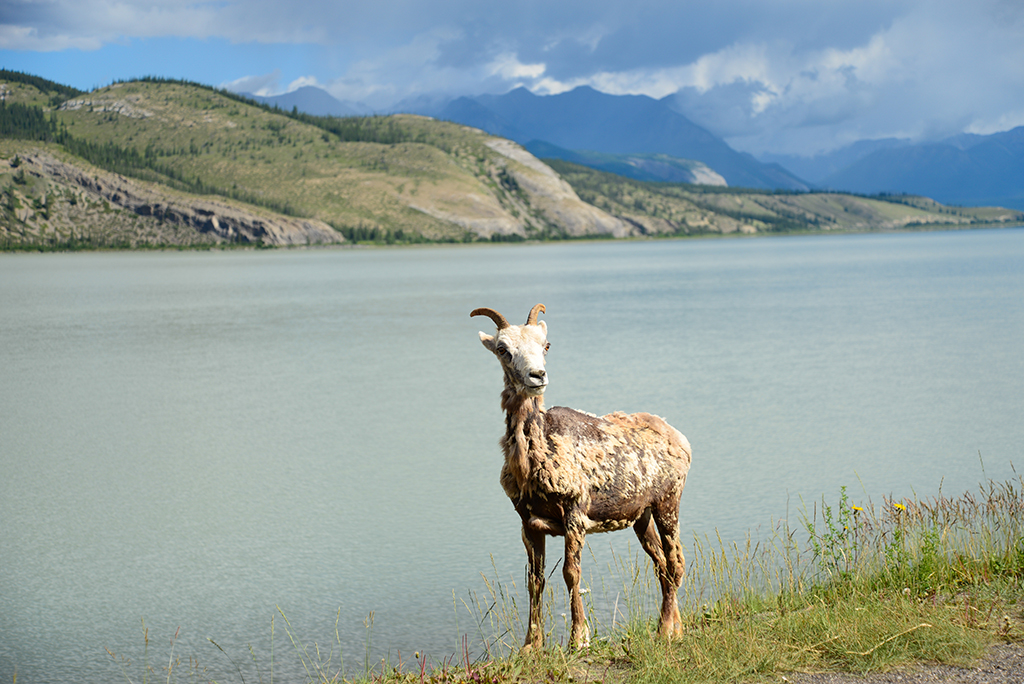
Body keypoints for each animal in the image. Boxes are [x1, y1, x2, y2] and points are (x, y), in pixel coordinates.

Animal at [468, 305, 692, 651]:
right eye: (503, 349)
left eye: (546, 345)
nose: (537, 376)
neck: (533, 462)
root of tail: (680, 438)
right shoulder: (527, 521)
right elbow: (535, 581)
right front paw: (531, 646)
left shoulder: (574, 512)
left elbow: (571, 573)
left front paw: (578, 639)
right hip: (641, 515)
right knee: (661, 565)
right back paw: (672, 628)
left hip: (668, 501)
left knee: (676, 562)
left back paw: (666, 630)